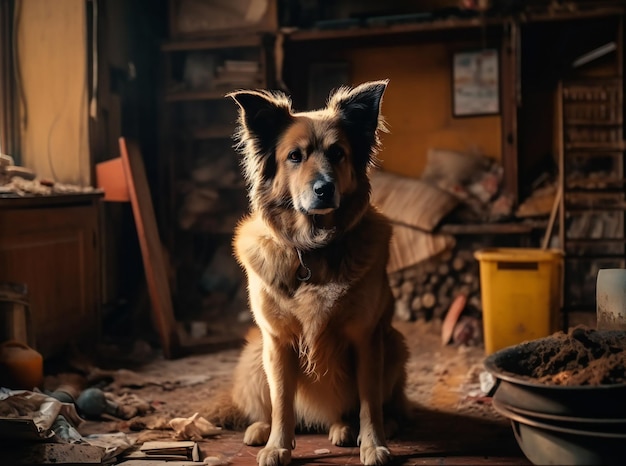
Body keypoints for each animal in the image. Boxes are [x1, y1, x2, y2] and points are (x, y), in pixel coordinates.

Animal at [227, 81, 408, 466]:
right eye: (295, 156)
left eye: (338, 153)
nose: (324, 189)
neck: (313, 248)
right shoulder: (277, 341)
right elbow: (282, 402)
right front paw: (277, 446)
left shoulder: (366, 338)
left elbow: (369, 403)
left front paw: (374, 443)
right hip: (254, 353)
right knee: (271, 407)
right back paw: (260, 429)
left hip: (394, 344)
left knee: (364, 408)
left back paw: (352, 428)